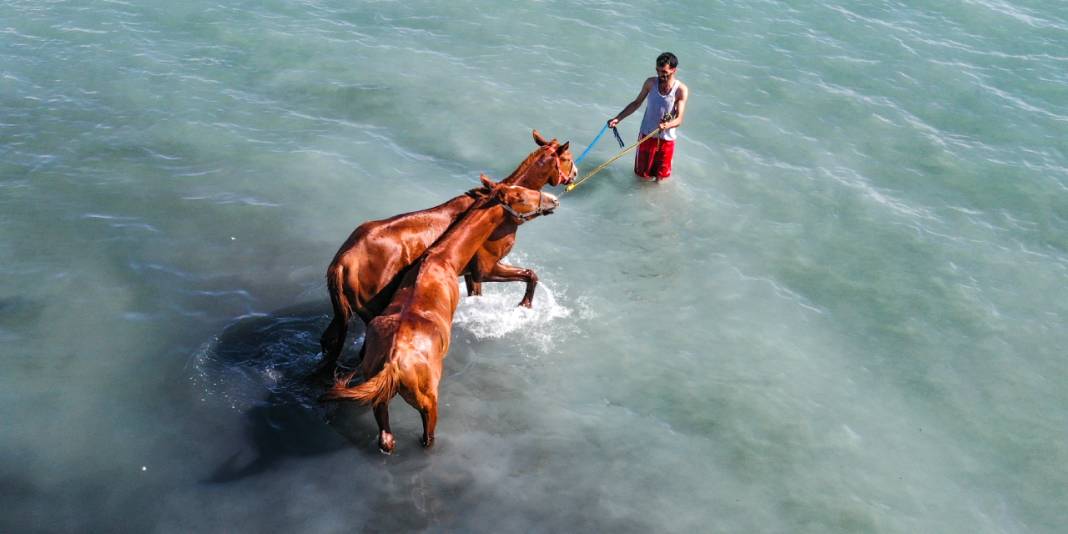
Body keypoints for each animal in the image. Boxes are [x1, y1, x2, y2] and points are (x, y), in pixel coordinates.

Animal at [316, 130, 576, 371]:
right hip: (373, 307)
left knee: (329, 340)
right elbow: (531, 275)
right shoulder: (487, 268)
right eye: (568, 158)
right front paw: (525, 305)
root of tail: (342, 261)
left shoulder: (471, 274)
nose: (574, 175)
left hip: (344, 311)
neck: (497, 213)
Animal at [322, 175, 559, 450]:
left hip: (379, 397)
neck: (441, 258)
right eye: (520, 195)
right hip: (427, 401)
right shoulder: (482, 272)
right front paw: (525, 305)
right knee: (427, 437)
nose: (554, 200)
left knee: (386, 439)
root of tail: (392, 365)